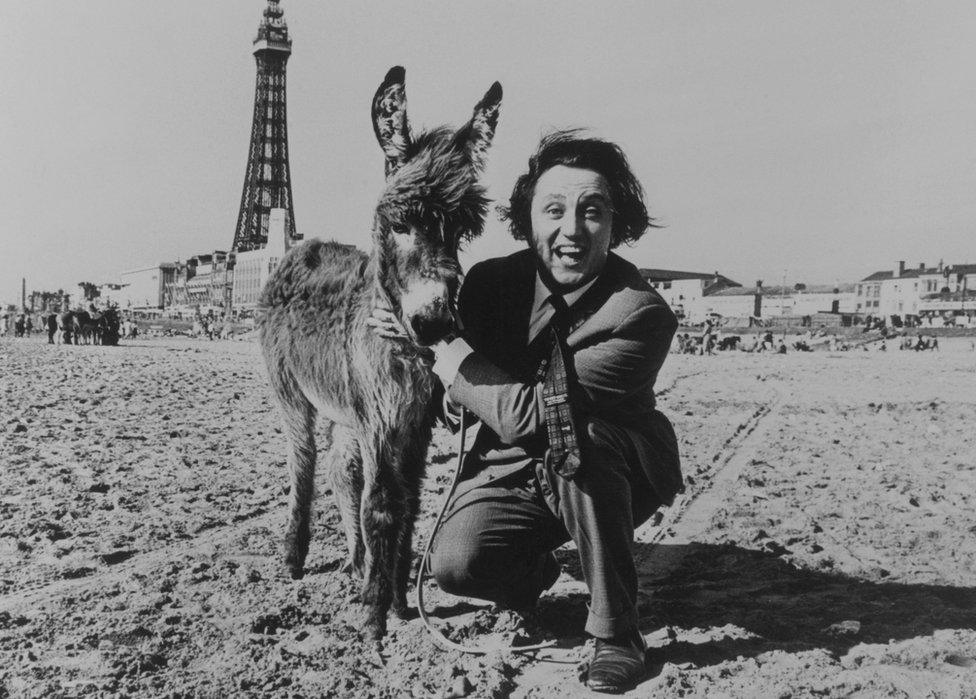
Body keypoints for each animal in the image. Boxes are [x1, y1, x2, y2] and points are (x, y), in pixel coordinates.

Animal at [258, 67, 504, 640]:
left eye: (461, 230)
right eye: (398, 224)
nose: (434, 323)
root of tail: (301, 249)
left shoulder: (412, 422)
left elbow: (408, 505)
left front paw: (394, 600)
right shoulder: (383, 421)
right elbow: (383, 506)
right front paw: (374, 617)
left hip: (346, 410)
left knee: (340, 471)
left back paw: (354, 560)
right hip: (292, 395)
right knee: (303, 465)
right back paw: (294, 558)